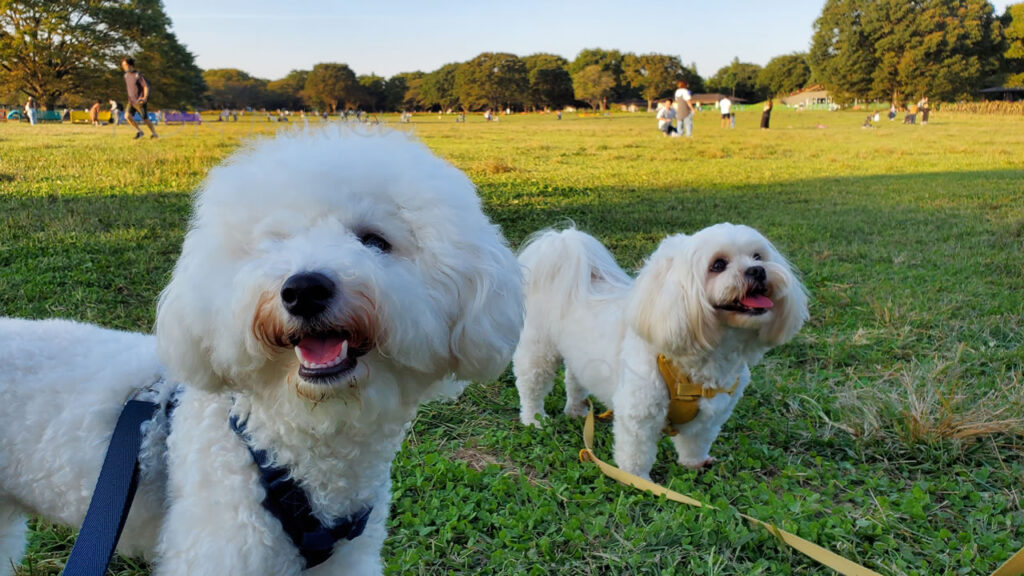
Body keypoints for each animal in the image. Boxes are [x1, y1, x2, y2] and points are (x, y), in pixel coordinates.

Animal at [512, 222, 806, 477]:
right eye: (718, 265)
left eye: (758, 256)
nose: (757, 270)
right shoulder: (639, 412)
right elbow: (636, 452)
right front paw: (637, 480)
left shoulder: (713, 414)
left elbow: (695, 441)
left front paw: (693, 463)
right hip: (538, 351)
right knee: (531, 386)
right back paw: (534, 419)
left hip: (581, 358)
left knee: (574, 379)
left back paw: (576, 410)